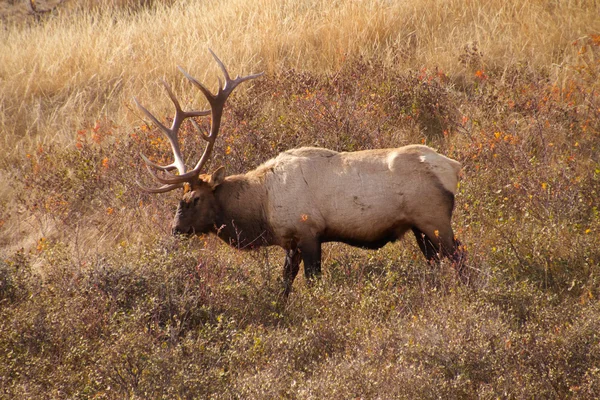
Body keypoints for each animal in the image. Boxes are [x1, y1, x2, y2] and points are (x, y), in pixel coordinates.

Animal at [137, 50, 468, 296]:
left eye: (193, 199)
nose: (175, 229)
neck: (262, 208)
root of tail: (453, 168)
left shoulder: (308, 232)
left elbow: (312, 282)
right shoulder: (290, 242)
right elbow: (284, 284)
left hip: (433, 218)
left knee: (459, 256)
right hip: (419, 227)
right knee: (436, 261)